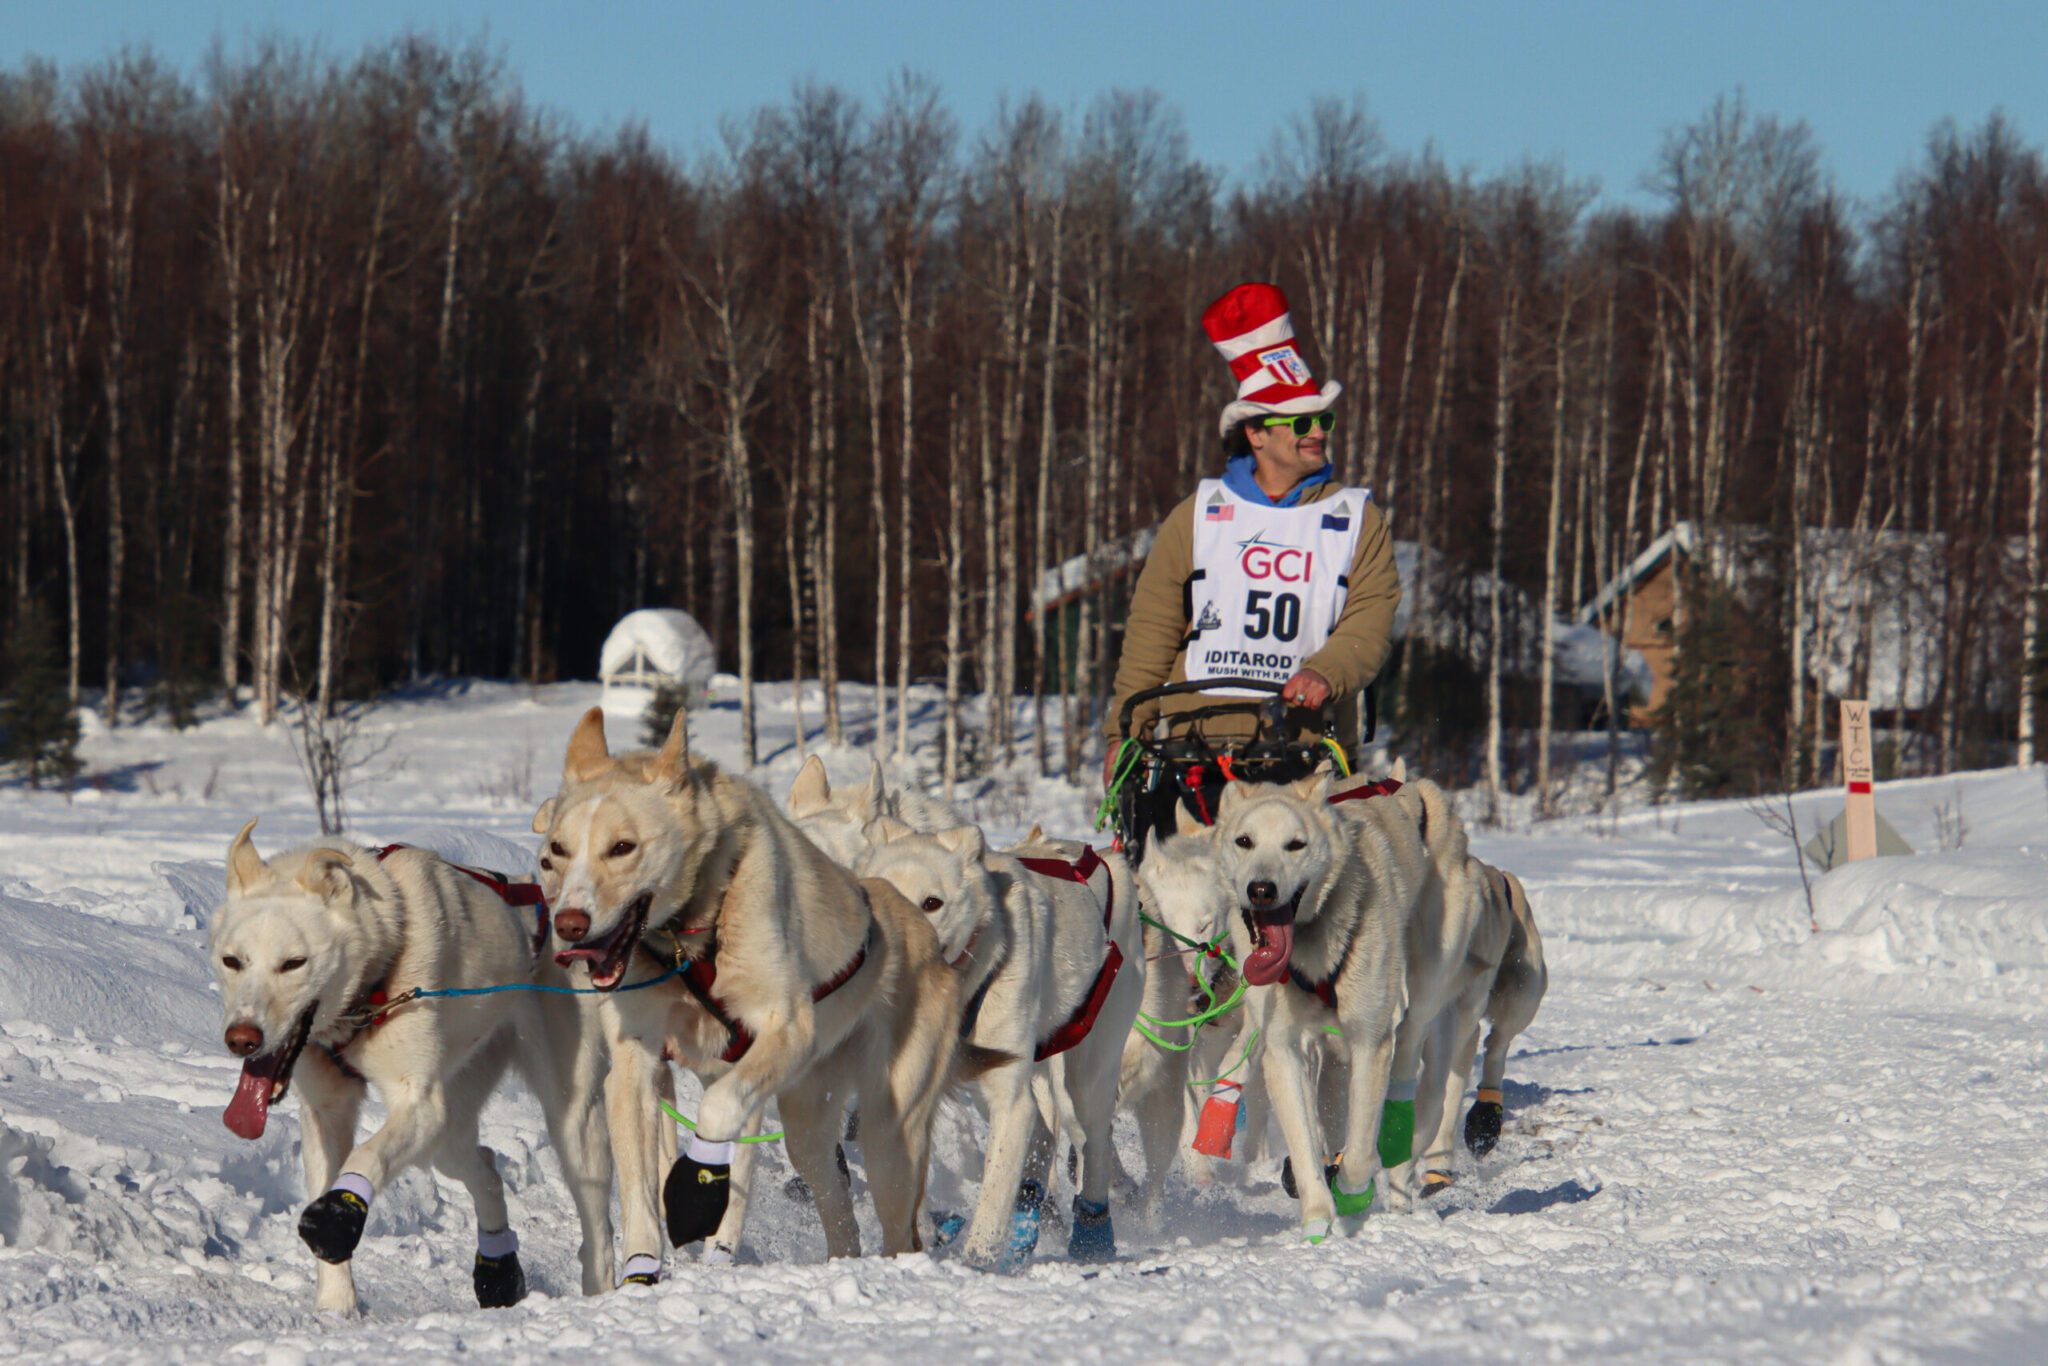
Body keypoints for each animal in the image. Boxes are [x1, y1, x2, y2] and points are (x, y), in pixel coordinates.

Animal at [214, 823, 622, 1310]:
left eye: (294, 963)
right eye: (232, 961)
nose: (242, 1038)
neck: (374, 977)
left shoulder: (421, 1105)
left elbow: (366, 1155)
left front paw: (339, 1214)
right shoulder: (327, 1111)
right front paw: (334, 1308)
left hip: (570, 1120)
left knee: (596, 1226)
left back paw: (600, 1292)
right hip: (449, 1131)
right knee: (485, 1168)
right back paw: (499, 1272)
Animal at [528, 704, 974, 1286]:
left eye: (622, 847)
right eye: (556, 852)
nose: (569, 925)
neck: (691, 936)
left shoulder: (785, 1032)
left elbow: (718, 1111)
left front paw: (696, 1192)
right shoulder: (636, 1061)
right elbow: (638, 1186)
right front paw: (641, 1268)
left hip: (889, 1133)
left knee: (900, 1227)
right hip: (809, 1126)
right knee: (839, 1212)